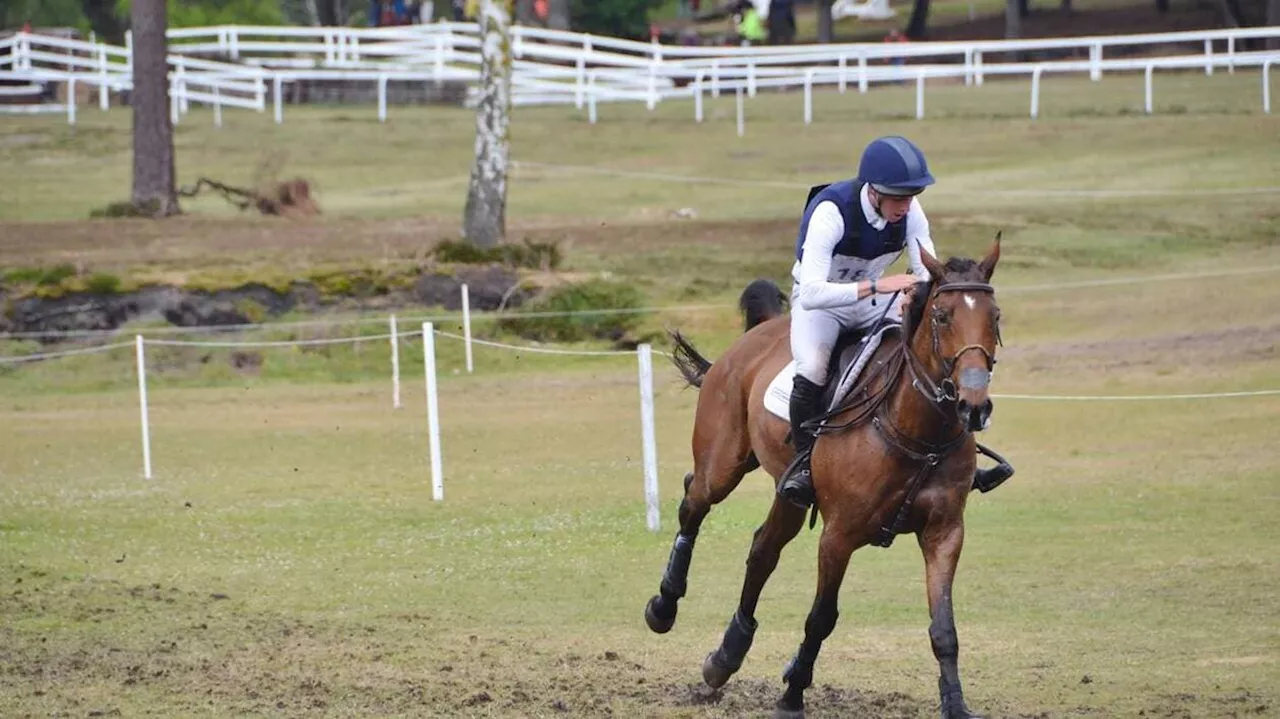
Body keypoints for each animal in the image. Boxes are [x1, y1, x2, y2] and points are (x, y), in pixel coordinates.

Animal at [645, 237, 1003, 711]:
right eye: (942, 317)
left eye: (994, 316)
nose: (974, 407)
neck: (917, 430)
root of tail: (757, 335)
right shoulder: (839, 536)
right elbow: (821, 618)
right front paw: (792, 694)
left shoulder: (944, 533)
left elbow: (943, 628)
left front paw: (956, 704)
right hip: (722, 466)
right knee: (693, 503)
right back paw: (663, 606)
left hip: (789, 493)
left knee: (763, 550)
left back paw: (727, 655)